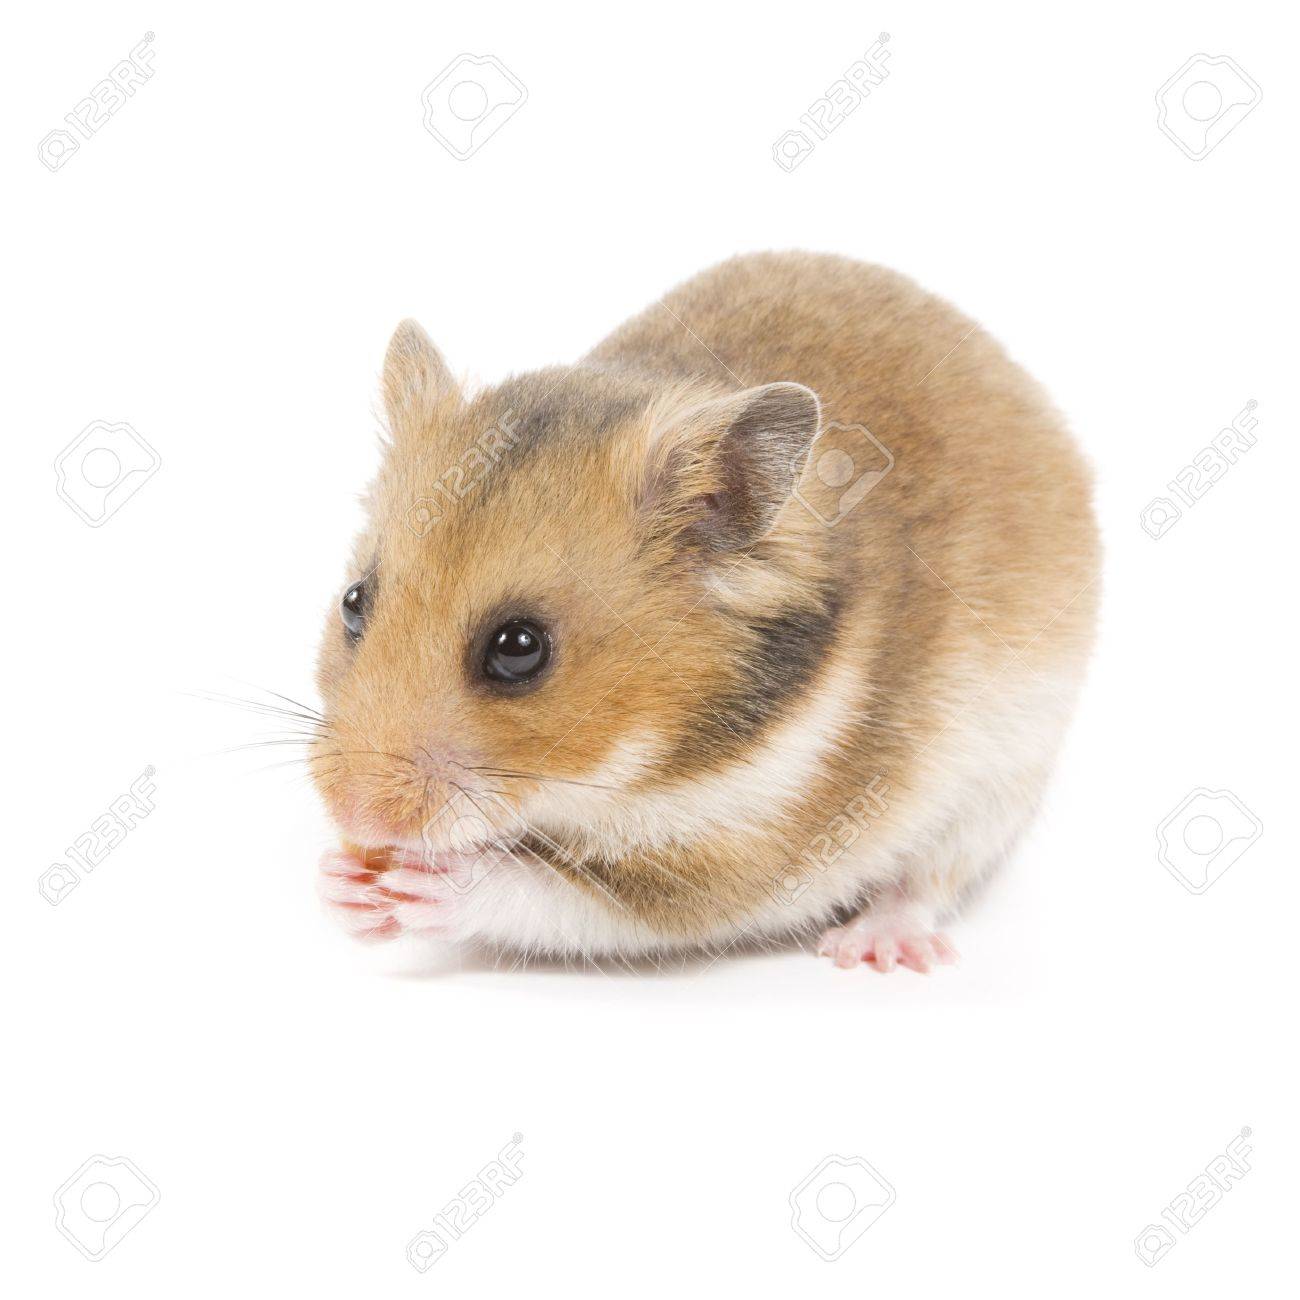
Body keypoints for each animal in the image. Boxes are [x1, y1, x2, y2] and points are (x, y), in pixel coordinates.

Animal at [312, 252, 1098, 971]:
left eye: (519, 648)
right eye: (353, 602)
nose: (355, 815)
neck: (648, 766)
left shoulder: (727, 860)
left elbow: (550, 893)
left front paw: (427, 885)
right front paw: (340, 885)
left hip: (1002, 783)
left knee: (928, 880)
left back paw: (871, 948)